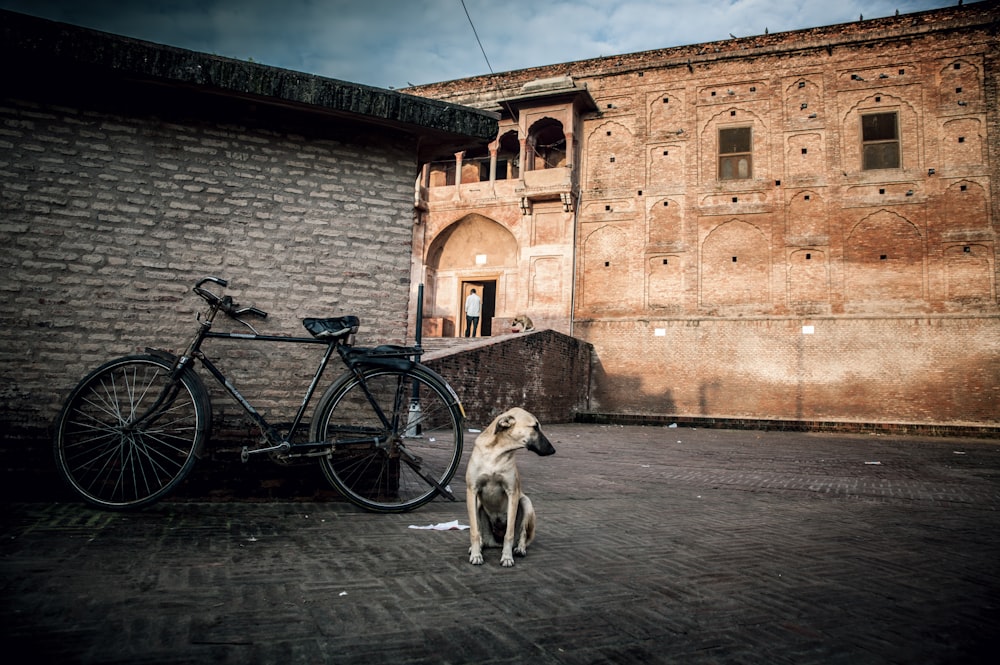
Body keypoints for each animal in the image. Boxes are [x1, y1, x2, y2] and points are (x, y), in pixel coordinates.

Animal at [466, 404, 556, 564]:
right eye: (535, 427)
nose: (553, 450)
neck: (496, 453)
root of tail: (495, 543)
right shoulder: (472, 491)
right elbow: (474, 531)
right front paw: (476, 555)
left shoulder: (512, 493)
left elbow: (510, 533)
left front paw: (507, 557)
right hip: (478, 505)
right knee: (481, 534)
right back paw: (479, 546)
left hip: (526, 503)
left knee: (523, 533)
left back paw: (520, 548)